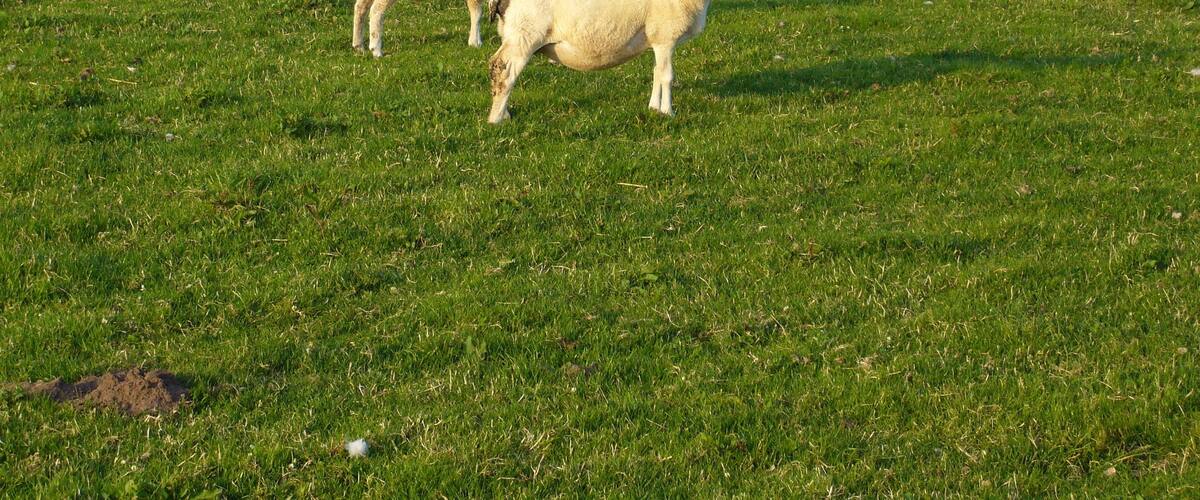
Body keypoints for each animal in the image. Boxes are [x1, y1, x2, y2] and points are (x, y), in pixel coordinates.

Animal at [353, 0, 486, 57]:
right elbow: (477, 11)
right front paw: (475, 42)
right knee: (376, 10)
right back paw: (376, 50)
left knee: (360, 7)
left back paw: (359, 46)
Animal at [485, 0, 712, 124]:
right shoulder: (665, 35)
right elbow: (666, 76)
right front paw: (668, 112)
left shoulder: (657, 39)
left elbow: (656, 73)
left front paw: (654, 108)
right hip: (525, 33)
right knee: (503, 70)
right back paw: (496, 119)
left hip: (513, 33)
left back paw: (504, 113)